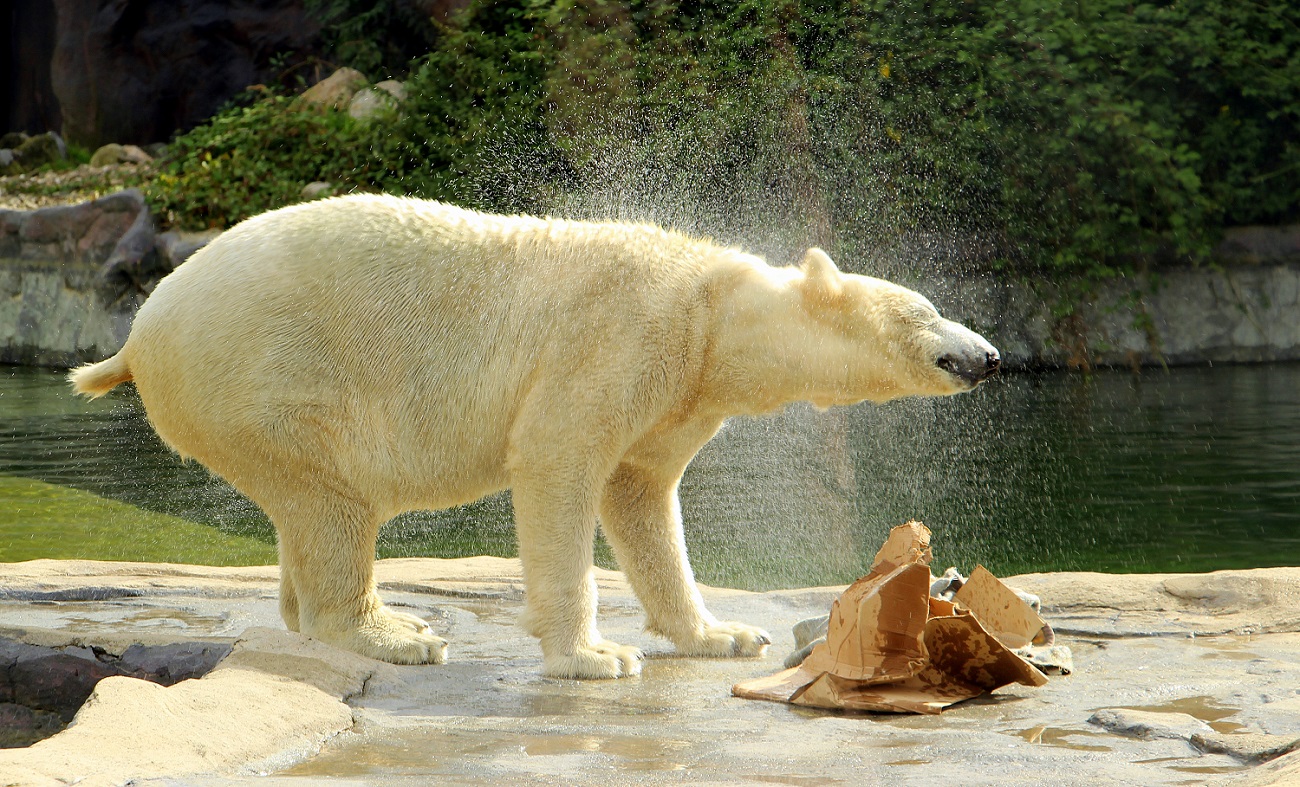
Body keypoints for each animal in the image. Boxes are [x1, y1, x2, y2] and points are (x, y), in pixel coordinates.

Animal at [71, 193, 998, 676]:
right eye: (927, 308)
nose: (989, 356)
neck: (710, 309)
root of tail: (140, 331)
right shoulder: (623, 336)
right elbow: (560, 464)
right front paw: (596, 655)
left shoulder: (679, 391)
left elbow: (642, 496)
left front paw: (724, 634)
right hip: (272, 378)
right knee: (332, 499)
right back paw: (397, 633)